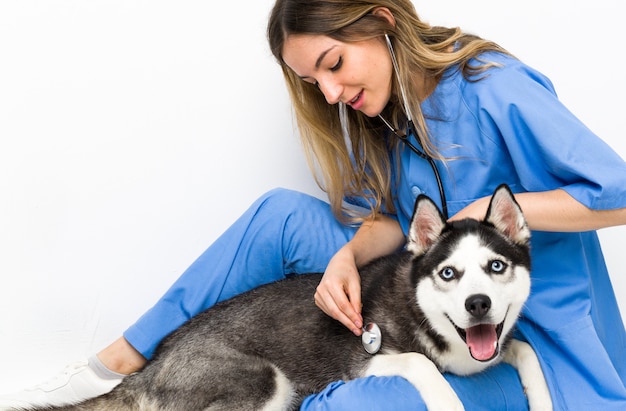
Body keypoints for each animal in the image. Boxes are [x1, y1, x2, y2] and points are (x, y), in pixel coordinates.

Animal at [26, 184, 548, 411]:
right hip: (265, 381)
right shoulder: (363, 359)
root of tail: (152, 367)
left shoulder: (485, 351)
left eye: (495, 267)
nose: (477, 304)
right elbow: (422, 364)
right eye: (448, 273)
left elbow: (525, 350)